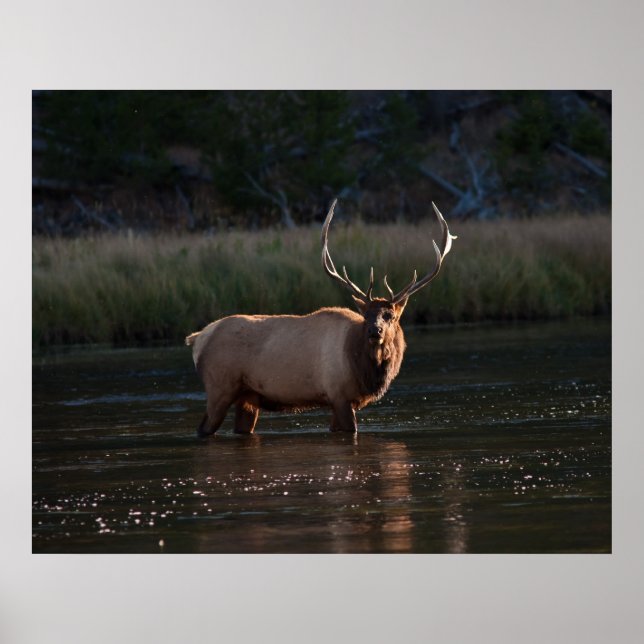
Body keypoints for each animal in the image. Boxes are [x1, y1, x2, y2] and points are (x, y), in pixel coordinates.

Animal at [185, 200, 456, 437]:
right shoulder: (339, 394)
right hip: (219, 387)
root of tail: (198, 338)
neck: (363, 369)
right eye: (366, 315)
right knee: (203, 428)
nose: (374, 331)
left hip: (248, 398)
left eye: (389, 315)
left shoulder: (342, 401)